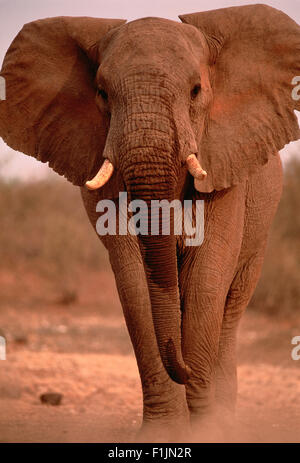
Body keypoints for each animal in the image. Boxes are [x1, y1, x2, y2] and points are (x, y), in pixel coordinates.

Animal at [0, 3, 300, 444]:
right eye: (102, 94)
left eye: (196, 91)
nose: (188, 371)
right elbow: (135, 282)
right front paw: (163, 433)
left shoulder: (227, 166)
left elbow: (207, 277)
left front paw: (207, 430)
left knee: (230, 307)